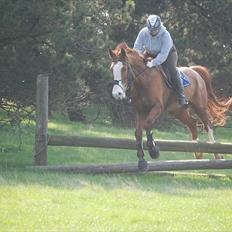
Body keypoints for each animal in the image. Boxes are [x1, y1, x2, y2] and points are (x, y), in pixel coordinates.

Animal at [109, 42, 232, 170]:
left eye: (124, 69)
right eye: (111, 69)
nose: (117, 94)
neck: (144, 80)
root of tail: (194, 71)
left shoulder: (157, 107)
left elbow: (147, 124)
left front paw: (154, 151)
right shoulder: (140, 111)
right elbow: (138, 133)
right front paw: (142, 161)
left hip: (199, 107)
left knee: (208, 125)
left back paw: (218, 155)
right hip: (178, 111)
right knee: (192, 124)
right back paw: (197, 154)